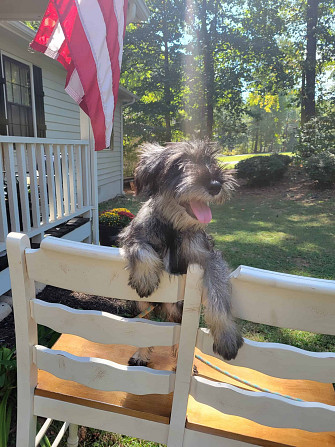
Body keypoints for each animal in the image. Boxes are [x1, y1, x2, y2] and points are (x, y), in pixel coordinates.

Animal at [121, 141, 244, 368]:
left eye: (211, 161)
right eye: (178, 164)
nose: (215, 185)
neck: (173, 227)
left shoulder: (208, 258)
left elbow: (219, 293)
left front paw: (226, 335)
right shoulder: (131, 236)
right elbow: (140, 248)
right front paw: (145, 277)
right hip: (143, 306)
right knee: (145, 326)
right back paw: (141, 354)